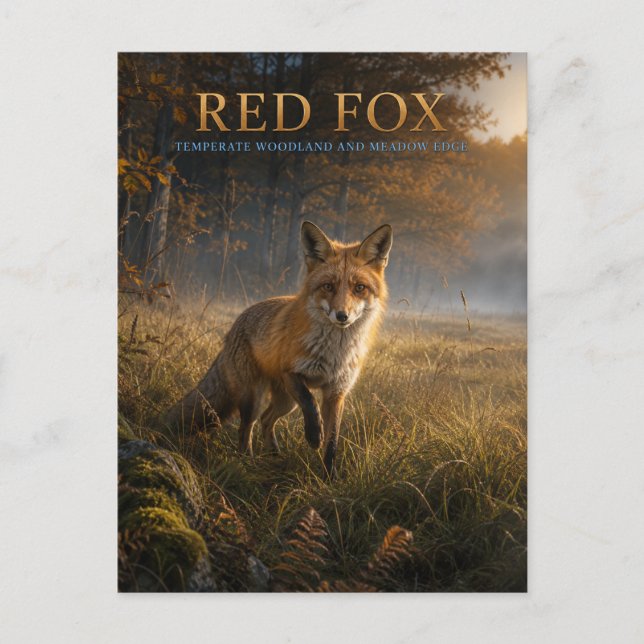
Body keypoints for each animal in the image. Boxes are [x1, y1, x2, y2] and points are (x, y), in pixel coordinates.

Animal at [163, 221, 393, 477]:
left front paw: (329, 476)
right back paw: (247, 462)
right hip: (255, 397)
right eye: (328, 286)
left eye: (360, 288)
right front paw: (314, 435)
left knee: (266, 420)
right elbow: (310, 403)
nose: (342, 316)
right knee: (246, 428)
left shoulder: (336, 392)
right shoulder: (291, 373)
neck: (334, 353)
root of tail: (236, 324)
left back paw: (274, 455)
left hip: (286, 402)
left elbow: (333, 441)